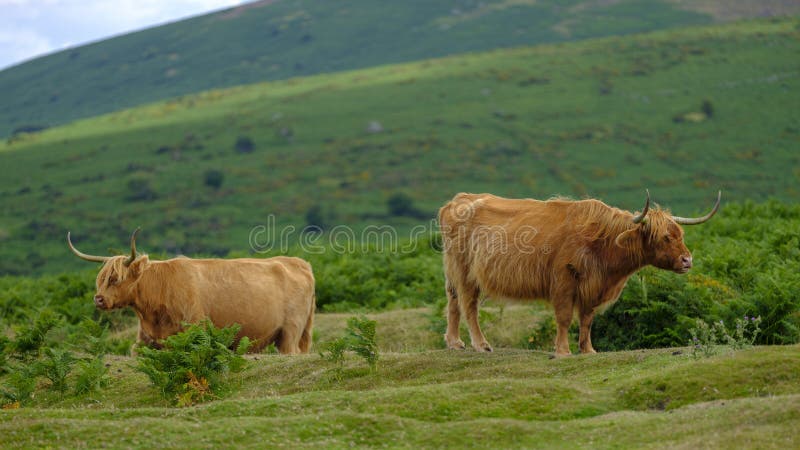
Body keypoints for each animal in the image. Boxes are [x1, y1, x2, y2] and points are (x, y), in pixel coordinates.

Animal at [68, 230, 316, 354]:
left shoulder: (196, 329)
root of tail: (300, 262)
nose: (98, 299)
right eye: (100, 279)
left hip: (291, 331)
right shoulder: (145, 337)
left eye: (115, 278)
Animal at [440, 192, 720, 356]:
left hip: (454, 273)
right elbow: (564, 318)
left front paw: (588, 350)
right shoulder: (564, 280)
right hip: (465, 272)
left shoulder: (593, 287)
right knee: (468, 306)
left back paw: (454, 342)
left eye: (680, 234)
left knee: (452, 302)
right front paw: (563, 351)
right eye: (664, 237)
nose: (687, 260)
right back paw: (480, 344)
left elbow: (587, 319)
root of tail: (458, 200)